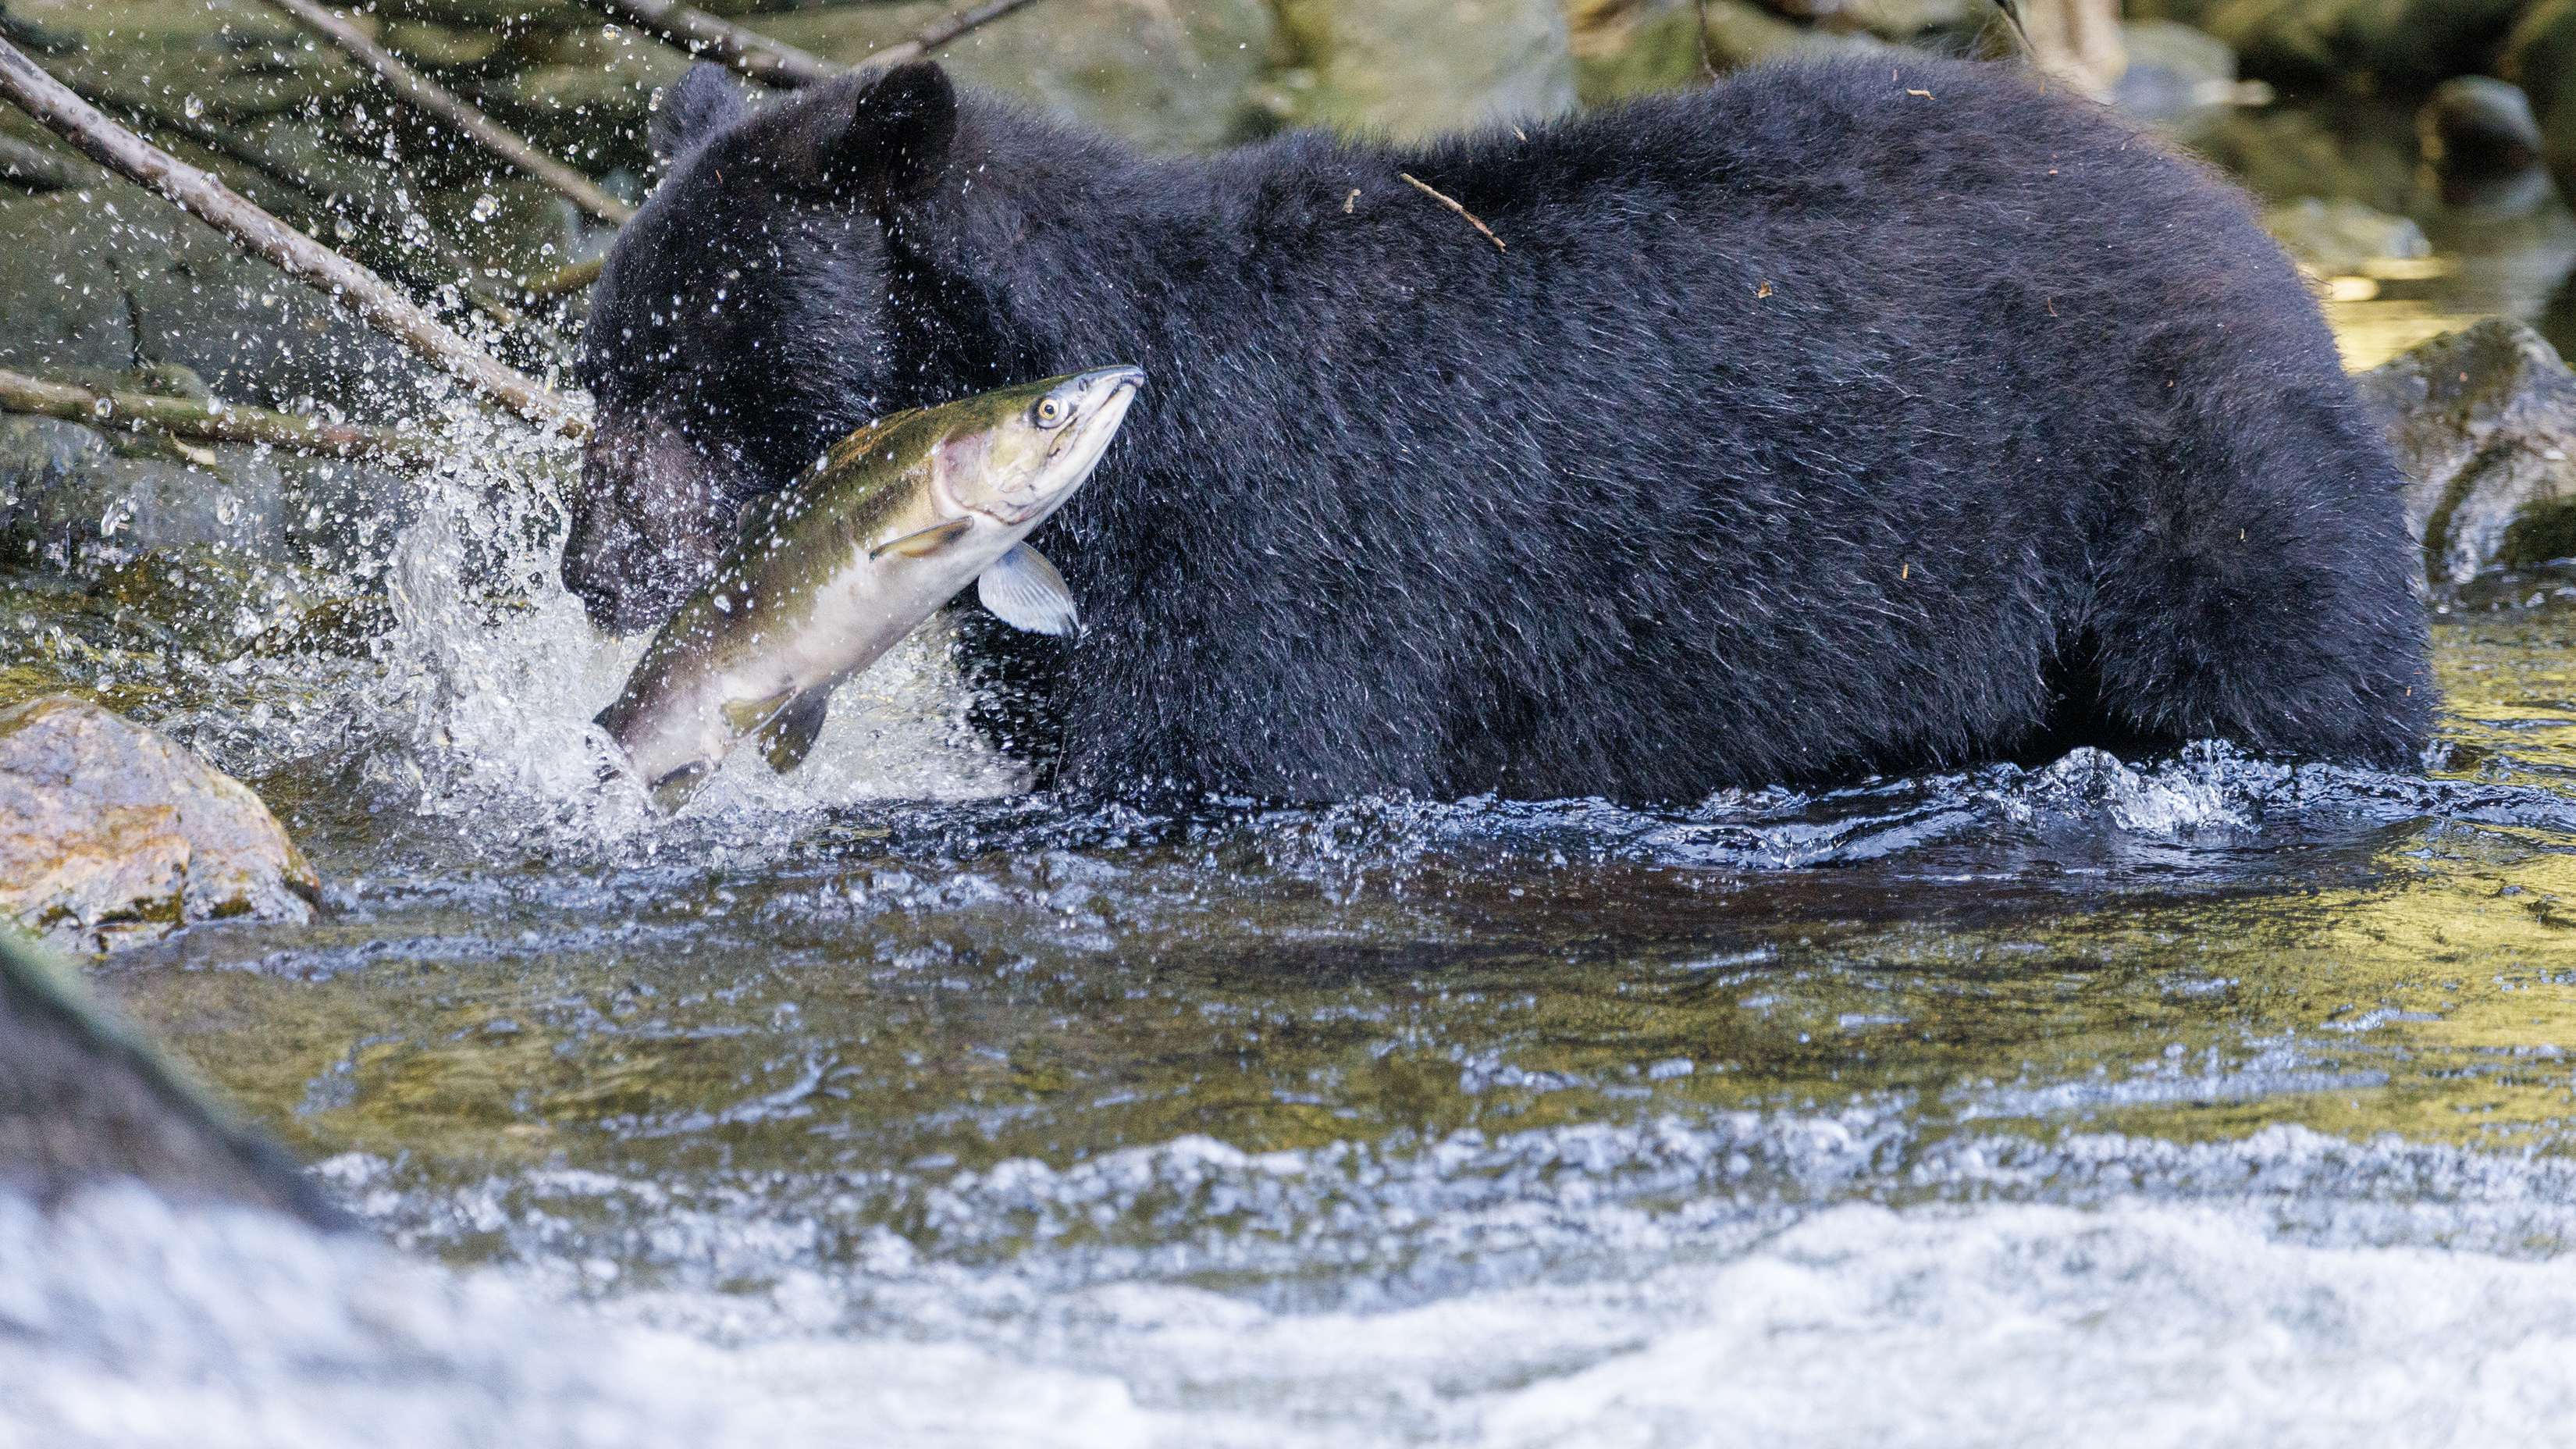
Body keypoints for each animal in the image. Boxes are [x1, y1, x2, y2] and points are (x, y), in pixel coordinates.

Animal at [565, 53, 2434, 803]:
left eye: (688, 366)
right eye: (604, 365)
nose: (594, 566)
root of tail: (2254, 233)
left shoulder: (1278, 542)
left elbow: (1252, 746)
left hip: (2193, 485)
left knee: (2291, 674)